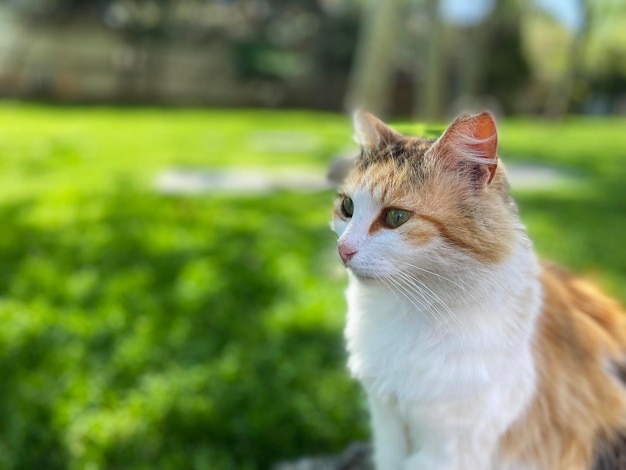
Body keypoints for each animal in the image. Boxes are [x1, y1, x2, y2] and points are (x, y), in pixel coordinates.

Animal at [330, 111, 620, 470]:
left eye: (396, 217)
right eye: (347, 207)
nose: (343, 250)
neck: (407, 309)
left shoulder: (451, 446)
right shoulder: (388, 422)